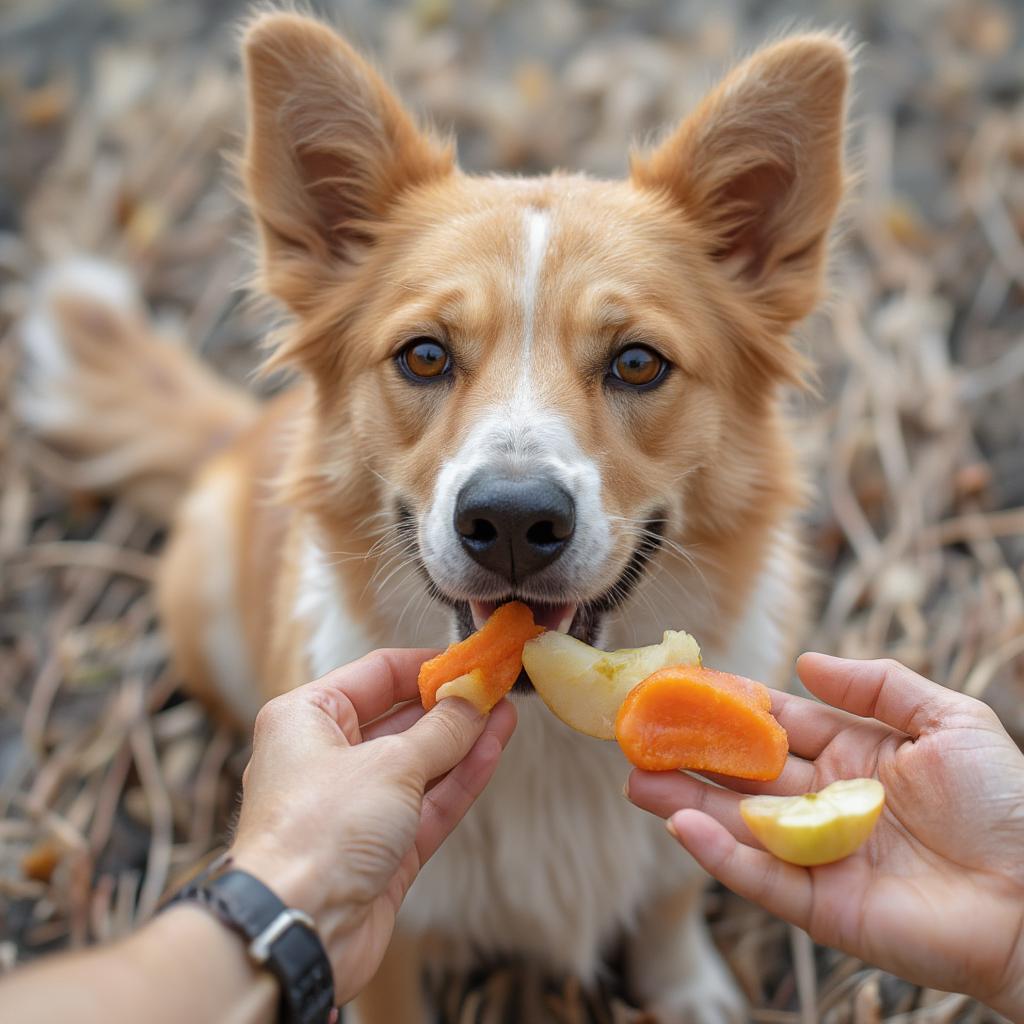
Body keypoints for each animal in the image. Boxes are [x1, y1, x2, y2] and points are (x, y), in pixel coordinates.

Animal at [18, 12, 847, 1019]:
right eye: (423, 355)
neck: (544, 743)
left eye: (638, 363)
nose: (514, 521)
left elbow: (669, 899)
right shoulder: (384, 943)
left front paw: (684, 986)